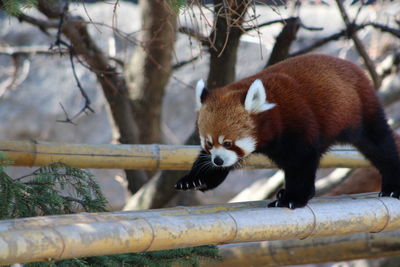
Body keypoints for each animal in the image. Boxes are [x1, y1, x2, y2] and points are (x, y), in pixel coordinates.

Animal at [174, 54, 400, 209]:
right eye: (209, 143)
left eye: (228, 142)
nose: (218, 160)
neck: (274, 115)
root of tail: (354, 67)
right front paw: (195, 179)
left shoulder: (298, 124)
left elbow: (301, 163)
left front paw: (294, 198)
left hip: (362, 109)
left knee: (380, 145)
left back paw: (392, 186)